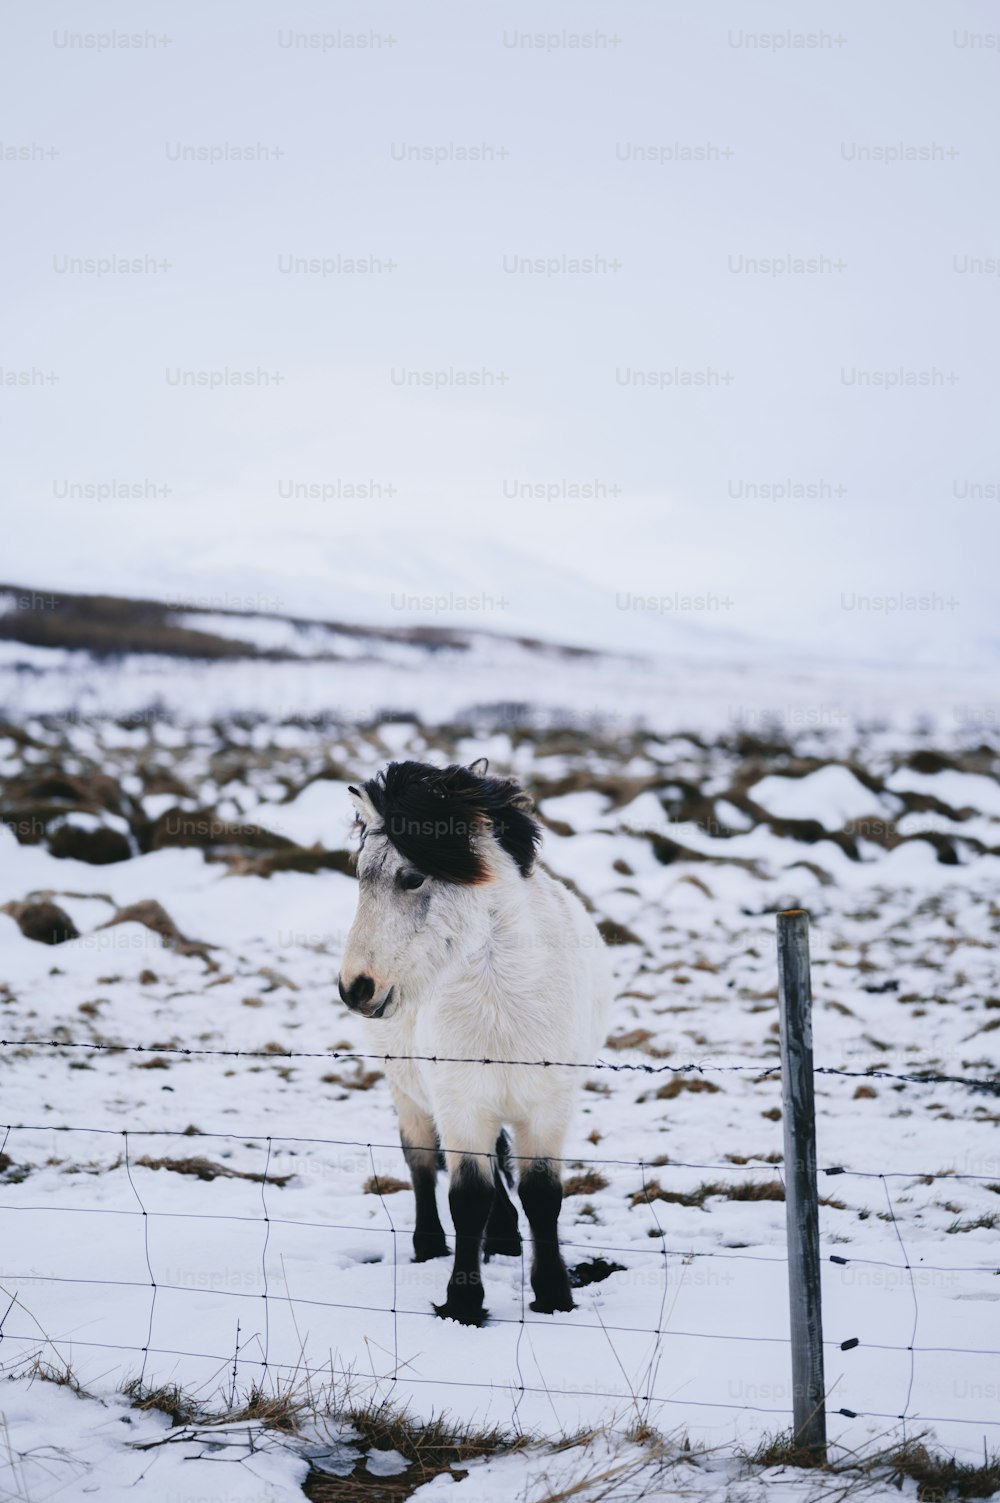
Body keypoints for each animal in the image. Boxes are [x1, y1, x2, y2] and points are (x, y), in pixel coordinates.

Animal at [339, 763, 613, 1328]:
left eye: (412, 877)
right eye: (361, 876)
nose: (355, 987)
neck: (503, 1001)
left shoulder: (548, 1107)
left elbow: (541, 1197)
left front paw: (554, 1296)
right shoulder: (459, 1104)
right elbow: (467, 1198)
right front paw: (463, 1305)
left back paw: (505, 1239)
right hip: (408, 1091)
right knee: (421, 1161)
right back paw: (429, 1245)